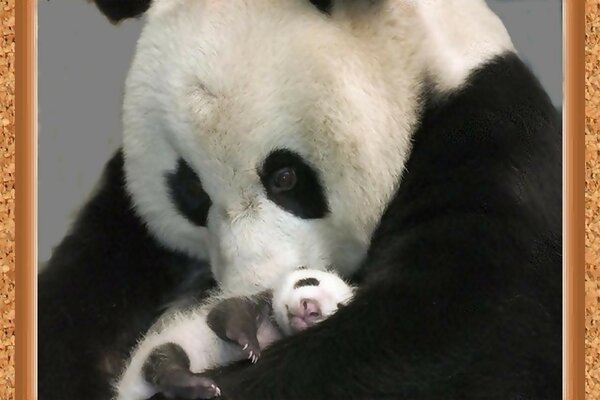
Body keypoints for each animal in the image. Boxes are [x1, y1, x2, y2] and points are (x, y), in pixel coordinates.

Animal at [115, 268, 354, 400]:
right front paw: (250, 345)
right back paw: (199, 384)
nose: (310, 307)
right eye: (309, 281)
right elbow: (225, 315)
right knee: (165, 362)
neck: (275, 329)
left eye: (339, 306)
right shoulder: (258, 301)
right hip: (156, 351)